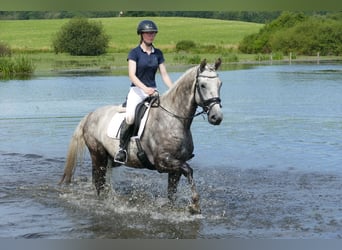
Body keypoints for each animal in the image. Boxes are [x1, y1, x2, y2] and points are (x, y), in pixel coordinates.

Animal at [58, 58, 223, 213]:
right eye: (202, 85)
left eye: (220, 84)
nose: (217, 117)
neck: (174, 119)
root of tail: (91, 115)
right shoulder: (163, 162)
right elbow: (189, 170)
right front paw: (195, 204)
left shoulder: (176, 166)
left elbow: (172, 193)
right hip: (98, 155)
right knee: (98, 182)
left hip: (110, 159)